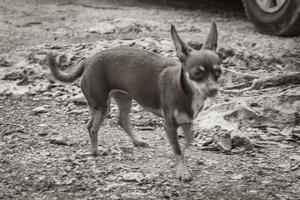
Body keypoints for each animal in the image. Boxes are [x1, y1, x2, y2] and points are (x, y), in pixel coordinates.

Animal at [48, 23, 221, 181]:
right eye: (197, 73)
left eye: (218, 72)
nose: (214, 89)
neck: (188, 90)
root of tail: (88, 60)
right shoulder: (169, 125)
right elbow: (178, 150)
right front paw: (182, 171)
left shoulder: (187, 123)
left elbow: (186, 144)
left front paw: (182, 164)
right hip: (102, 106)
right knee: (92, 127)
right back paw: (96, 151)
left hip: (123, 100)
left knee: (121, 121)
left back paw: (137, 141)